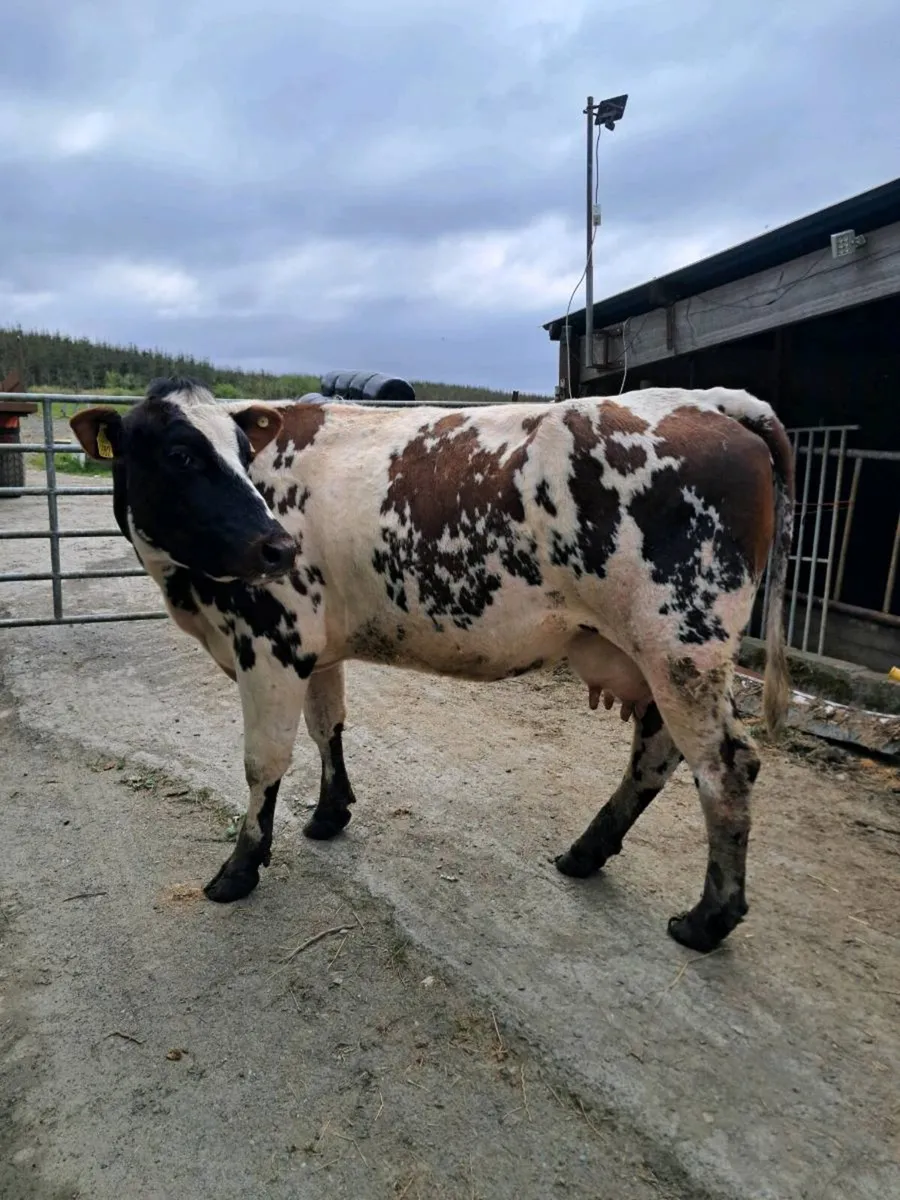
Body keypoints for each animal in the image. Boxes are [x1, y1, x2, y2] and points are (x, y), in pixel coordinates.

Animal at [70, 377, 794, 953]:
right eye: (180, 454)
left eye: (244, 453)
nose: (275, 547)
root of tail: (712, 400)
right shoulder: (316, 646)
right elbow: (328, 727)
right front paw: (330, 814)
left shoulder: (270, 641)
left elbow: (263, 761)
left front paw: (240, 868)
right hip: (656, 654)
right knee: (657, 752)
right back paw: (586, 854)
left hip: (680, 644)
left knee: (724, 766)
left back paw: (707, 920)